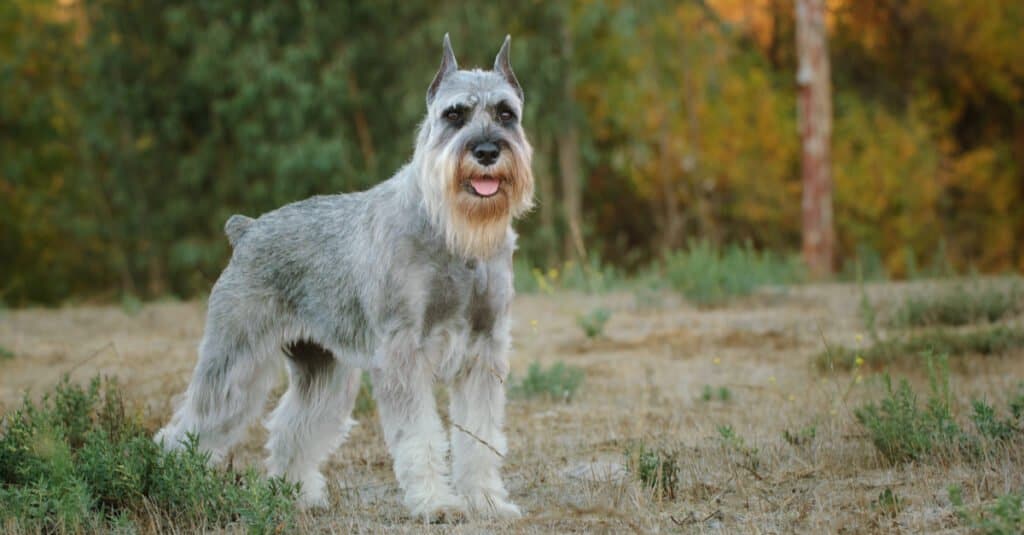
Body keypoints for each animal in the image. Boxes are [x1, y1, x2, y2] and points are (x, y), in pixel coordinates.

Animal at [157, 34, 536, 520]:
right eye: (454, 115)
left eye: (507, 113)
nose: (487, 150)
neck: (451, 232)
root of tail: (246, 230)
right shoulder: (402, 350)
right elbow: (420, 436)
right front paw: (435, 503)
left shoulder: (483, 349)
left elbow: (480, 436)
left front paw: (486, 500)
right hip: (235, 359)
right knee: (191, 423)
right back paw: (171, 483)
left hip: (324, 369)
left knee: (292, 426)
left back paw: (296, 493)